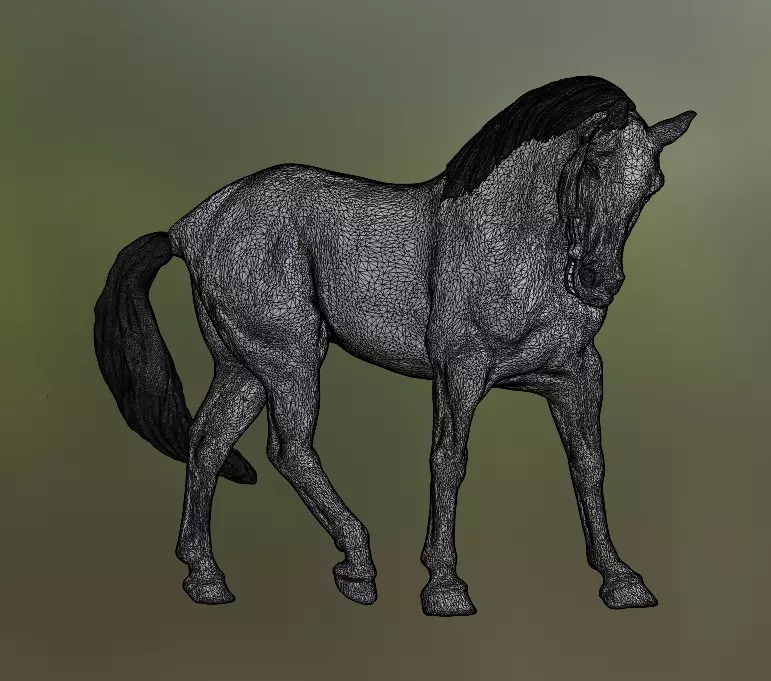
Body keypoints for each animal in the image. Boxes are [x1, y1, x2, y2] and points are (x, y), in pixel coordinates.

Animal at [94, 75, 696, 616]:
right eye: (591, 165)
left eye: (653, 183)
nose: (598, 281)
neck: (513, 243)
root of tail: (191, 226)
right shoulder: (460, 373)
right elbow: (449, 462)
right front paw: (445, 587)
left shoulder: (575, 377)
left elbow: (588, 464)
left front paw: (622, 580)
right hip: (288, 361)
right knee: (288, 450)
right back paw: (357, 567)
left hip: (243, 367)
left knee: (207, 442)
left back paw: (207, 578)